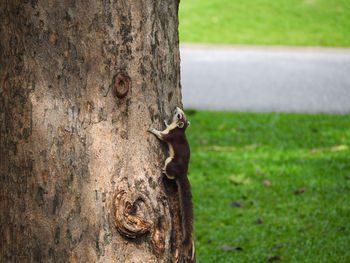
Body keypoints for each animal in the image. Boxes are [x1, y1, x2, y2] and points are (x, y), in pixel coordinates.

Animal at [149, 108, 196, 263]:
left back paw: (164, 172)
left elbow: (162, 135)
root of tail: (183, 174)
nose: (176, 109)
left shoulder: (171, 135)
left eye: (179, 115)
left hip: (170, 161)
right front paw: (164, 121)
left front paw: (152, 129)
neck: (180, 129)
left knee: (170, 174)